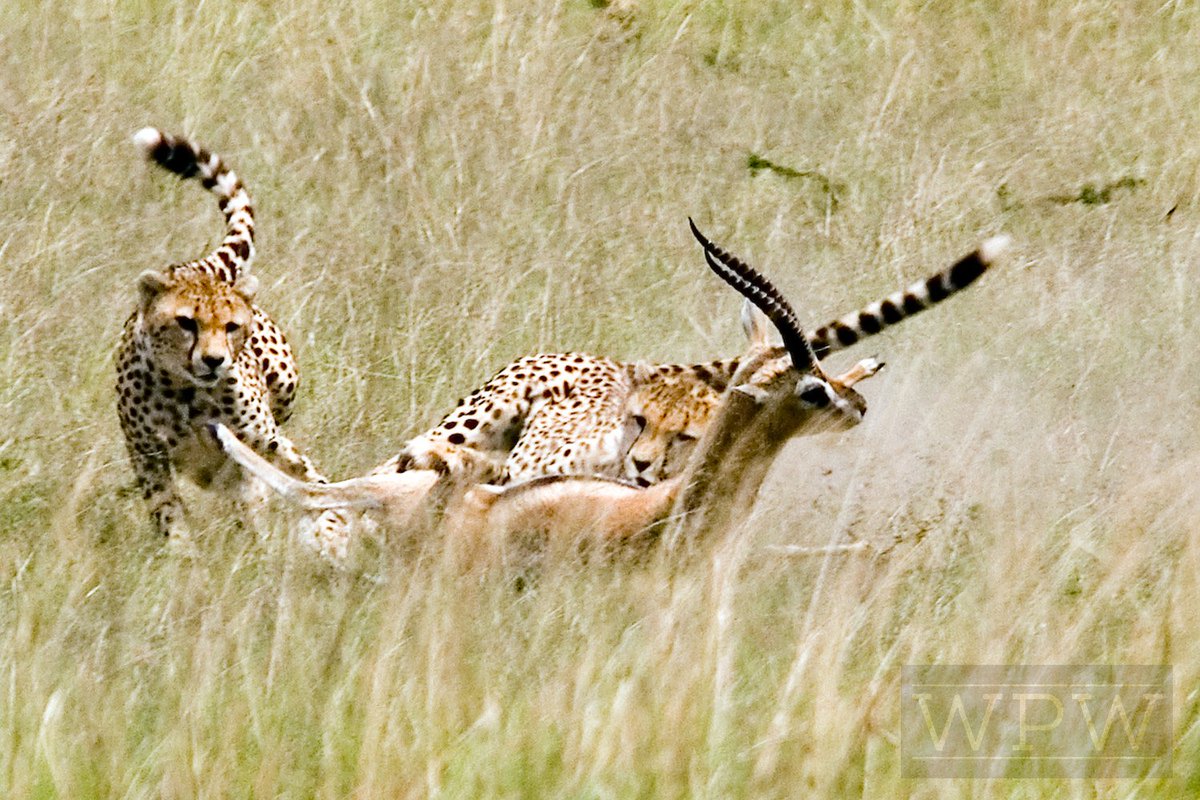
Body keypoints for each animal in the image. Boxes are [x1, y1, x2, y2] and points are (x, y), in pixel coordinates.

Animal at [115, 127, 337, 548]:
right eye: (186, 323)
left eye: (231, 327)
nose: (214, 360)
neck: (186, 394)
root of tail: (194, 268)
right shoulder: (148, 454)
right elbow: (167, 511)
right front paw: (181, 554)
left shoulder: (261, 441)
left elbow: (299, 477)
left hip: (284, 389)